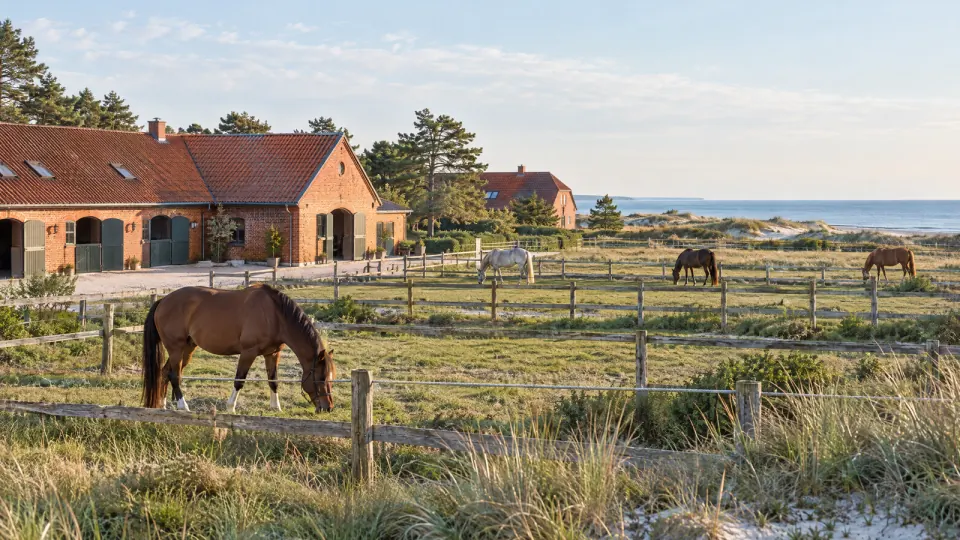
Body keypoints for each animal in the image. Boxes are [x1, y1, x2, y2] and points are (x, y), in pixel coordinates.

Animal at [142, 284, 336, 413]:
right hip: (176, 349)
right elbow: (239, 380)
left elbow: (273, 381)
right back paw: (183, 406)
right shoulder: (248, 352)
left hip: (187, 349)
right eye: (321, 378)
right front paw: (230, 407)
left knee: (165, 372)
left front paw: (276, 407)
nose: (328, 407)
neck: (275, 315)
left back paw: (162, 405)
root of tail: (163, 301)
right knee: (174, 375)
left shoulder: (272, 354)